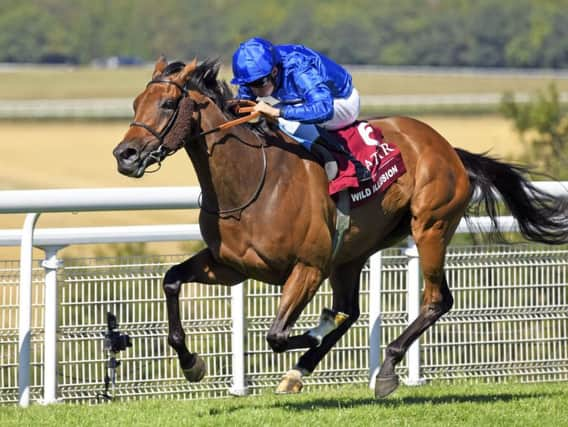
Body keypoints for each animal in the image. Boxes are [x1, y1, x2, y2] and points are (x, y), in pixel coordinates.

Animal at [112, 56, 568, 398]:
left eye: (167, 105)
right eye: (135, 102)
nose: (125, 155)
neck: (250, 181)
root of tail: (447, 148)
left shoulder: (308, 267)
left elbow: (278, 334)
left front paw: (315, 331)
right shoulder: (230, 266)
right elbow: (172, 280)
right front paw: (192, 364)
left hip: (430, 226)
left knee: (436, 300)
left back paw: (385, 368)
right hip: (352, 252)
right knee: (352, 309)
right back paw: (300, 370)